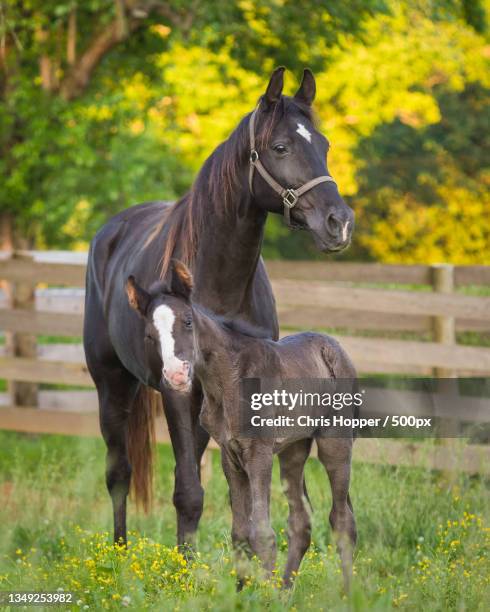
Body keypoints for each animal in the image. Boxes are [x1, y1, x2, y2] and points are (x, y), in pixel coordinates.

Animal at [83, 67, 352, 544]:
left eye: (323, 146)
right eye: (280, 147)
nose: (338, 223)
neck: (220, 287)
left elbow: (240, 493)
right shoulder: (178, 394)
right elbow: (189, 493)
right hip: (111, 385)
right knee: (119, 474)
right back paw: (118, 552)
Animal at [126, 260, 356, 592]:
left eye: (188, 322)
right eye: (148, 335)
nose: (177, 375)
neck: (227, 379)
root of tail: (333, 346)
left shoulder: (258, 453)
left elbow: (262, 533)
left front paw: (263, 595)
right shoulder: (230, 454)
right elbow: (240, 533)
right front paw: (241, 592)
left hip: (335, 441)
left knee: (342, 520)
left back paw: (347, 594)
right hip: (294, 448)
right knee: (301, 520)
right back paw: (286, 592)